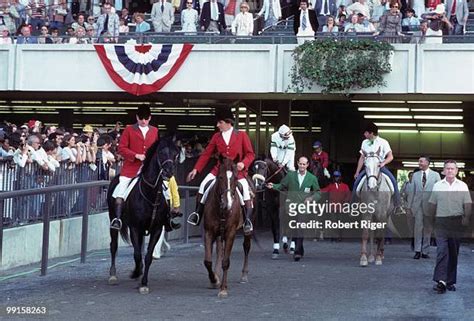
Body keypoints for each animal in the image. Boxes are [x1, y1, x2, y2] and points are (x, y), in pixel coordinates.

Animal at [107, 135, 180, 292]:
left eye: (175, 154)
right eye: (161, 152)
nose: (168, 173)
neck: (150, 194)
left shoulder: (156, 229)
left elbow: (147, 256)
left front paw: (144, 282)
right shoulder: (135, 228)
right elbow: (136, 254)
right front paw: (135, 273)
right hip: (113, 220)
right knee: (114, 245)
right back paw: (113, 275)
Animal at [202, 155, 252, 298]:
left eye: (235, 178)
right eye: (220, 177)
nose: (227, 203)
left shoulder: (231, 233)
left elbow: (226, 261)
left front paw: (223, 289)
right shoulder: (209, 232)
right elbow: (208, 261)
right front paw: (214, 280)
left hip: (247, 231)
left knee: (246, 247)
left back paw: (244, 275)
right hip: (219, 234)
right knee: (220, 251)